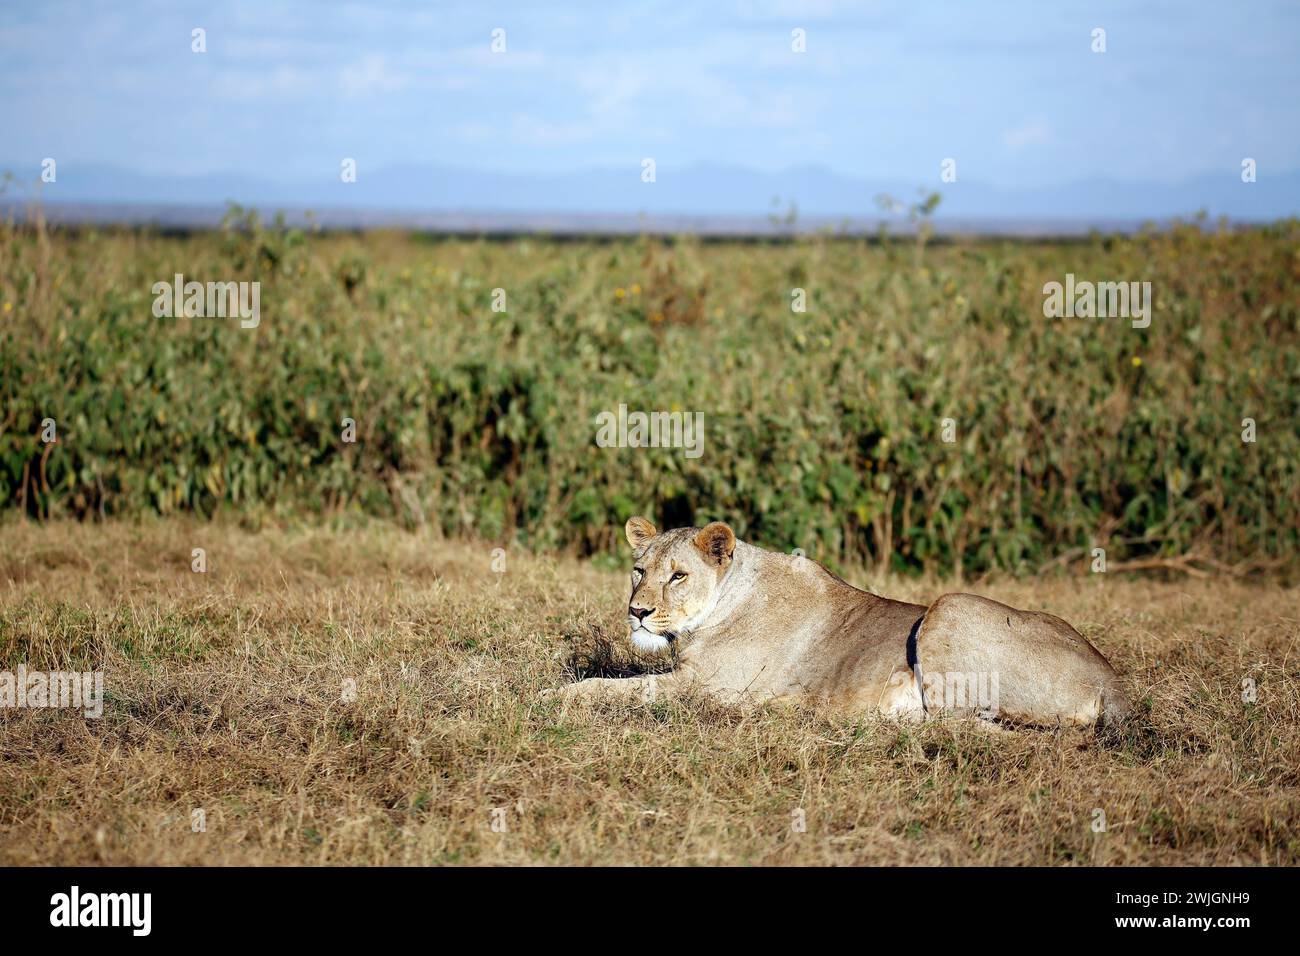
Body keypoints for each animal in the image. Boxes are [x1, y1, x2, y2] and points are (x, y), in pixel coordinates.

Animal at [550, 516, 1131, 729]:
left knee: (962, 727)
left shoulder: (708, 687)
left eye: (677, 576)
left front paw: (555, 696)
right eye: (639, 571)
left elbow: (619, 687)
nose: (638, 611)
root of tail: (1112, 682)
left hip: (949, 607)